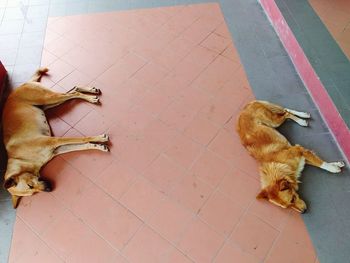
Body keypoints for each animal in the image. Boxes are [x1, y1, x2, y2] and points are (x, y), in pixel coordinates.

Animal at [2, 68, 109, 208]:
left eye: (30, 186)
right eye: (33, 193)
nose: (49, 189)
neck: (21, 159)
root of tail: (22, 85)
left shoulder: (54, 141)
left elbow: (82, 139)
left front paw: (100, 138)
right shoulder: (57, 150)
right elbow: (82, 146)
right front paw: (97, 145)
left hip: (46, 98)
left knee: (72, 92)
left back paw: (90, 98)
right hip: (49, 103)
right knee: (72, 91)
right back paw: (90, 91)